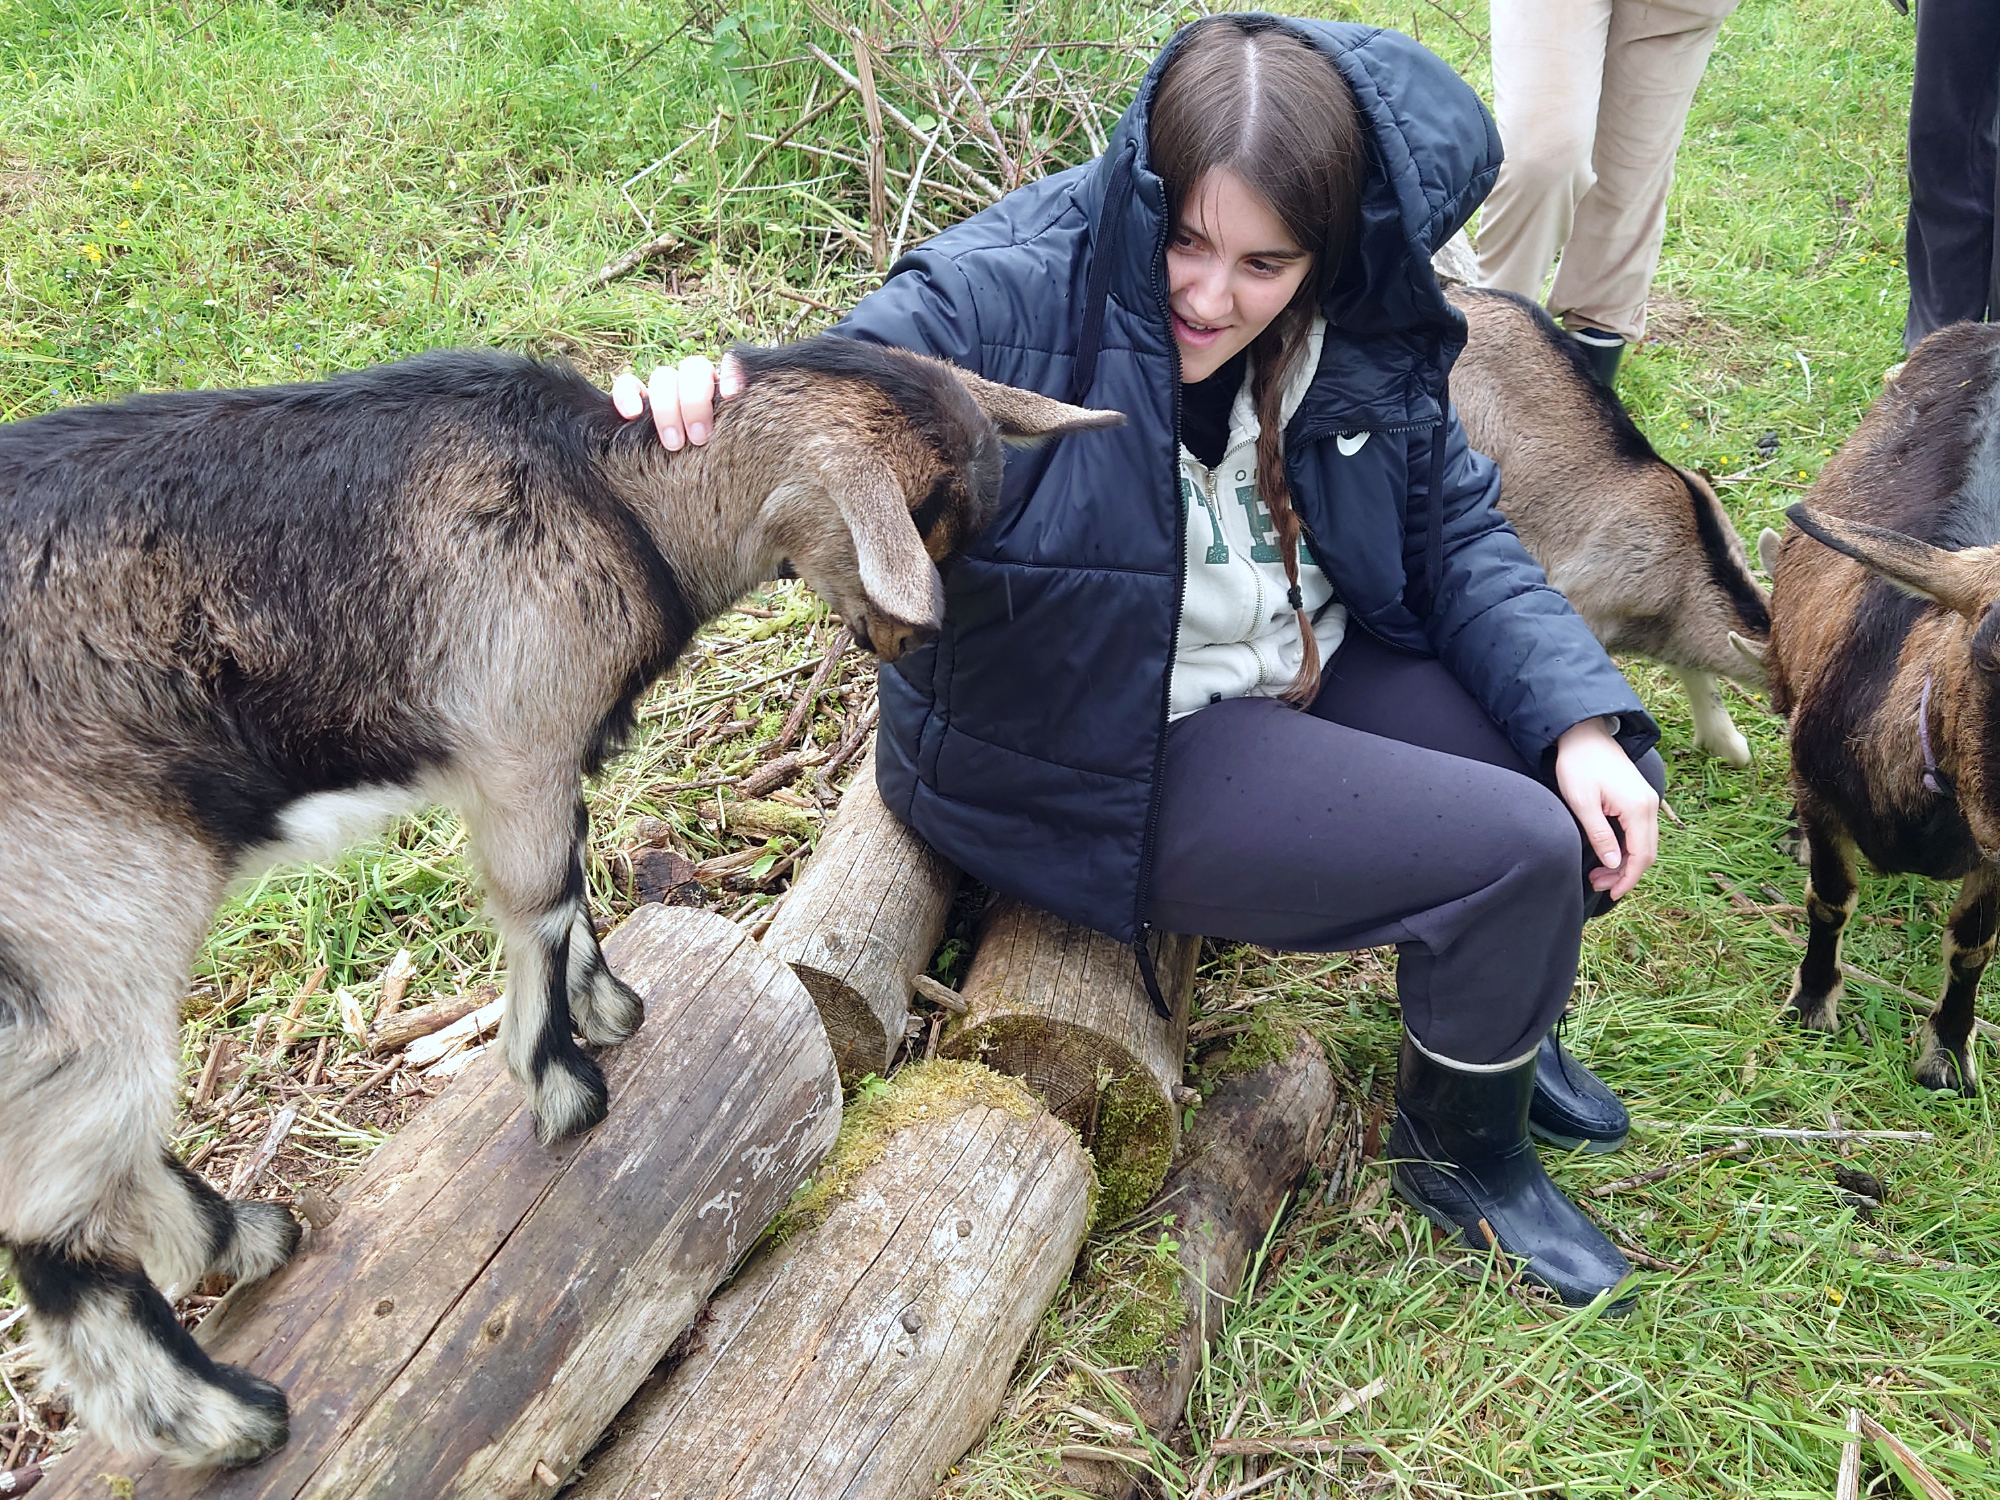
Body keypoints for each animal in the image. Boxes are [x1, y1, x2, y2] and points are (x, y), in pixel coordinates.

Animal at [0, 336, 1120, 1467]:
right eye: (927, 524)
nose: (901, 645)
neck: (615, 499)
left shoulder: (543, 758)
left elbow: (575, 876)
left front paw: (608, 1006)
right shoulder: (517, 741)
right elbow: (539, 899)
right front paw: (565, 1086)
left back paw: (245, 1241)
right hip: (97, 906)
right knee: (56, 1211)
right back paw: (224, 1417)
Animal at [1768, 321, 2000, 1098]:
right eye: (1989, 650)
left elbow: (1972, 948)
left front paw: (1948, 1055)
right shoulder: (1824, 794)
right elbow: (1830, 899)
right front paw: (1811, 1004)